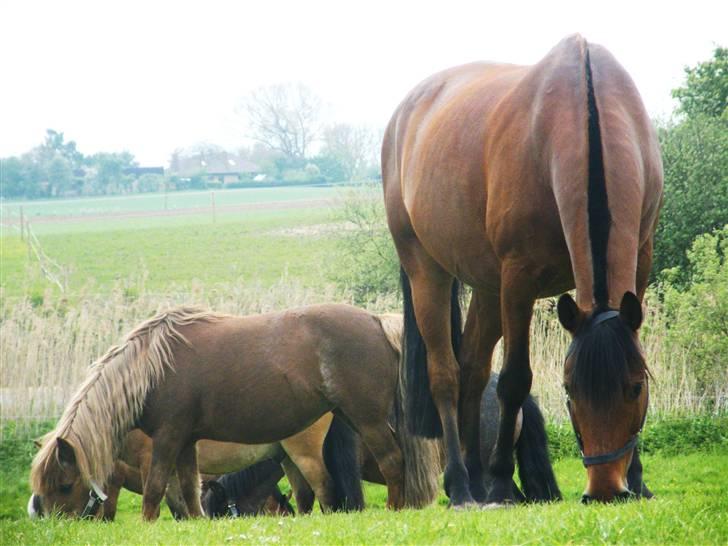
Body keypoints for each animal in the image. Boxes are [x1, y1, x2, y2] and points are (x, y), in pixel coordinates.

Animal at [29, 304, 437, 520]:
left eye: (64, 485)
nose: (58, 525)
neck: (151, 368)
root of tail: (376, 322)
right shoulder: (185, 442)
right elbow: (189, 491)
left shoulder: (166, 439)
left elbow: (155, 488)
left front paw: (148, 525)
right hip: (349, 418)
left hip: (366, 420)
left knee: (390, 462)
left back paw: (395, 509)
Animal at [382, 34, 662, 505]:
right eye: (569, 390)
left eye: (635, 387)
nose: (605, 490)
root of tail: (404, 114)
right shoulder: (519, 278)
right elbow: (515, 380)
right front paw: (499, 478)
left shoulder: (641, 259)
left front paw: (639, 480)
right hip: (428, 271)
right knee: (447, 375)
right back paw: (463, 484)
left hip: (486, 287)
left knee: (473, 368)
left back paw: (476, 478)